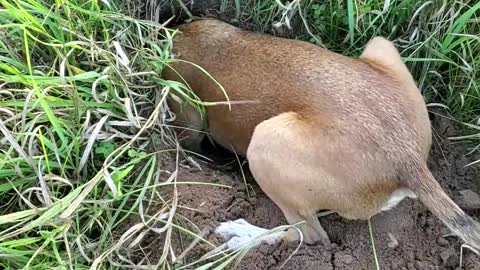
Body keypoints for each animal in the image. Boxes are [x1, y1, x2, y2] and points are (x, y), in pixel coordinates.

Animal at [162, 17, 480, 250]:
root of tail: (409, 161)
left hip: (266, 142)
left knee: (308, 235)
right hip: (380, 46)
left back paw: (241, 235)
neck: (190, 36)